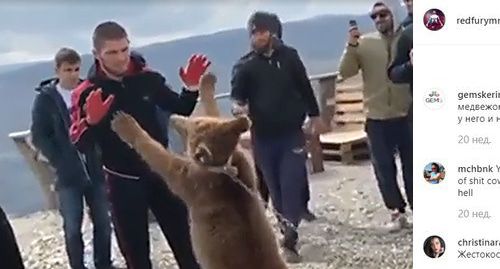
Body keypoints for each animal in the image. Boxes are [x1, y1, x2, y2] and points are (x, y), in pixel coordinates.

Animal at [111, 110, 288, 268]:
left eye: (192, 126)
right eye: (199, 120)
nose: (173, 117)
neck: (221, 168)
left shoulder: (194, 182)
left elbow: (162, 159)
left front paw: (124, 123)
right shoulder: (244, 168)